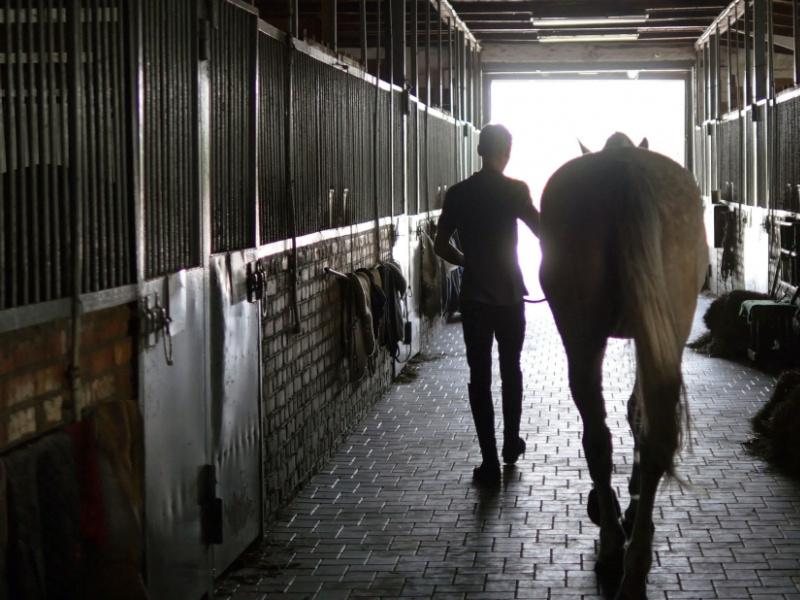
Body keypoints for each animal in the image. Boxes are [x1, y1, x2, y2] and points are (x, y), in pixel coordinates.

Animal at [536, 132, 708, 600]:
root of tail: (623, 169)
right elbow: (638, 413)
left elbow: (630, 414)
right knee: (650, 438)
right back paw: (634, 564)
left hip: (583, 336)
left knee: (599, 438)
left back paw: (614, 546)